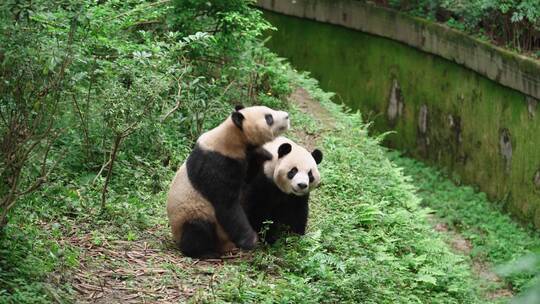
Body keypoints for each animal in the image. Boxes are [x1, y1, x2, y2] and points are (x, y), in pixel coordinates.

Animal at [167, 105, 288, 258]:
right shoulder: (217, 163)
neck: (232, 136)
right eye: (269, 118)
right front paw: (251, 240)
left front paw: (264, 154)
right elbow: (226, 204)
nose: (287, 116)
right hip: (190, 215)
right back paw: (205, 252)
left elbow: (248, 177)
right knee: (198, 228)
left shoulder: (243, 157)